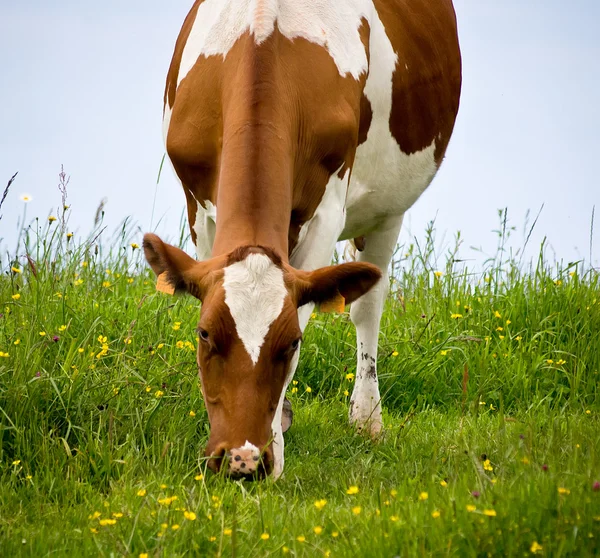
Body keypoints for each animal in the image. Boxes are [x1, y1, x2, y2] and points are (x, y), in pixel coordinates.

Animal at [143, 0, 462, 482]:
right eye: (203, 334)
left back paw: (367, 418)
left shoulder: (329, 210)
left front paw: (274, 442)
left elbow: (313, 305)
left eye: (291, 342)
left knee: (368, 306)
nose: (241, 460)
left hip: (389, 207)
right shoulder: (197, 205)